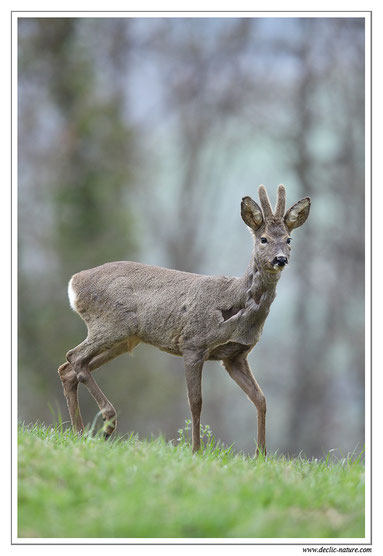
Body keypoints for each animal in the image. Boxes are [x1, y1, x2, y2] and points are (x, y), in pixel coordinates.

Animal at [59, 185, 312, 454]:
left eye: (289, 239)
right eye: (263, 239)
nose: (280, 259)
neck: (236, 302)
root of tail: (74, 283)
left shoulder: (235, 356)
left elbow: (261, 399)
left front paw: (261, 454)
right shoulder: (193, 343)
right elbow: (195, 401)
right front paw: (196, 450)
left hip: (124, 339)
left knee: (68, 369)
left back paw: (80, 431)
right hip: (110, 325)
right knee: (74, 357)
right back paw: (106, 422)